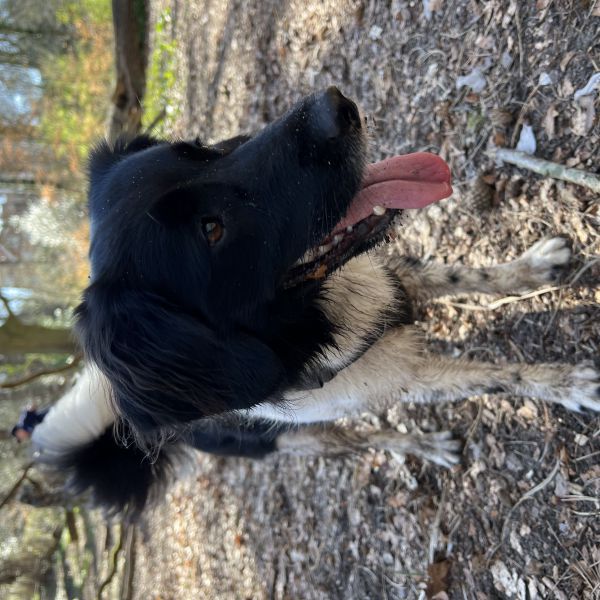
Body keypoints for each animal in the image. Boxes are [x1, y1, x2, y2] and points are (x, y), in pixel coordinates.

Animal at [34, 88, 600, 516]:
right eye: (211, 230)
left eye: (200, 148)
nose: (334, 105)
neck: (322, 311)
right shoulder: (407, 376)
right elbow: (496, 376)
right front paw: (567, 384)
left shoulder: (393, 278)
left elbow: (467, 274)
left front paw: (531, 267)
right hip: (292, 440)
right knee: (365, 440)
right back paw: (423, 446)